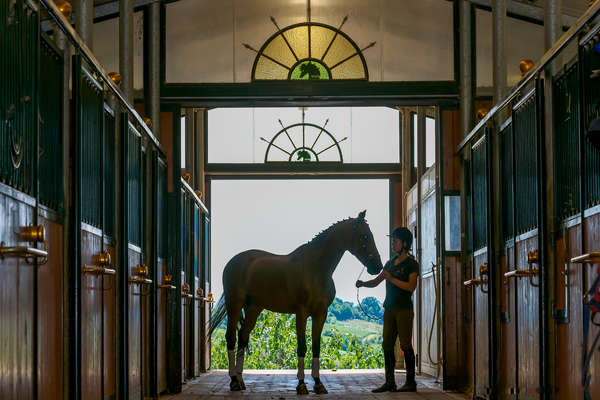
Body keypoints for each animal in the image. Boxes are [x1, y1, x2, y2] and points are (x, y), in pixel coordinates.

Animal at [219, 209, 380, 394]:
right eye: (365, 236)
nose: (377, 266)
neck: (315, 269)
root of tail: (233, 262)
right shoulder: (301, 313)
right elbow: (302, 346)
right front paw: (302, 384)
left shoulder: (321, 313)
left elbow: (316, 347)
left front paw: (318, 383)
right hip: (234, 304)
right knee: (231, 337)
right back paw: (233, 381)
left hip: (253, 308)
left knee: (243, 336)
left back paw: (240, 379)